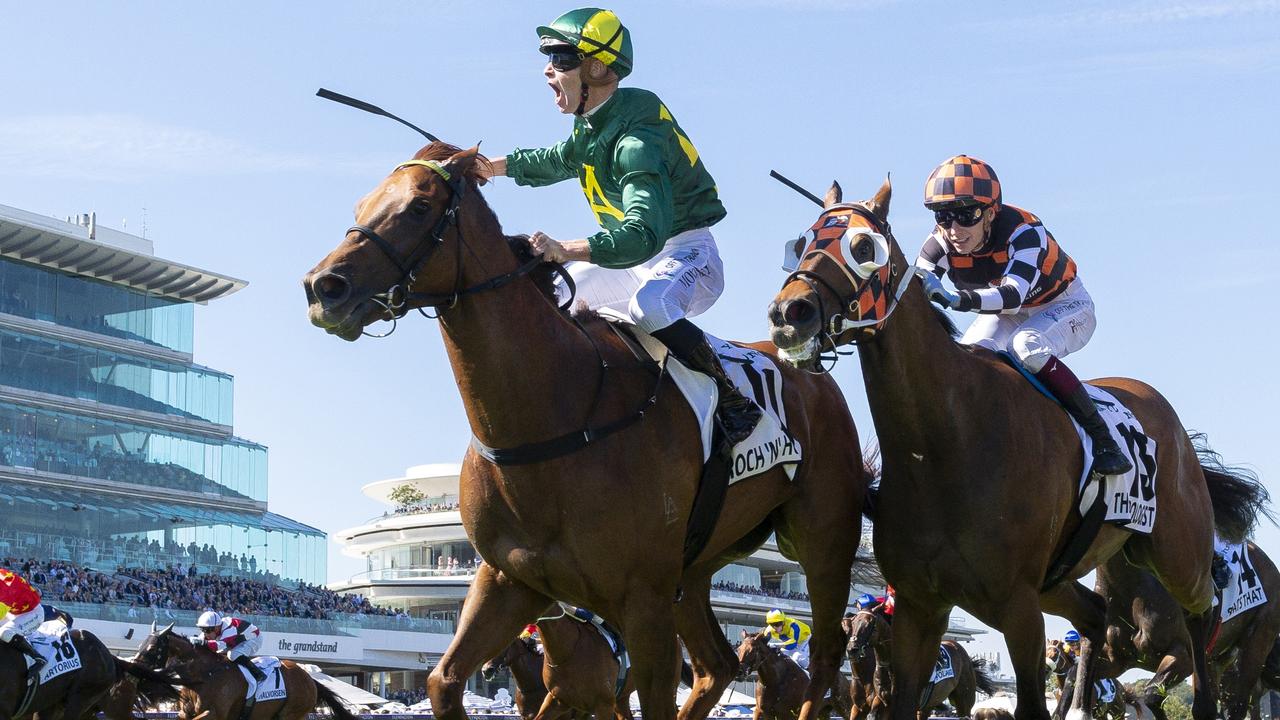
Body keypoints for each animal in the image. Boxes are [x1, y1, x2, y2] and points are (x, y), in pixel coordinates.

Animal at [132, 624, 357, 720]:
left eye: (151, 649)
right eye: (140, 645)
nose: (134, 668)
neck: (205, 675)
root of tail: (309, 679)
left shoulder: (215, 714)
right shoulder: (184, 713)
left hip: (291, 714)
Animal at [302, 141, 867, 720]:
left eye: (419, 205)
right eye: (362, 204)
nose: (324, 287)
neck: (556, 413)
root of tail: (810, 366)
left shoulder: (643, 599)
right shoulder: (508, 579)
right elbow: (442, 680)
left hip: (822, 539)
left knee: (825, 653)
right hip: (693, 573)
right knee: (718, 664)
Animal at [845, 611, 993, 719]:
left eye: (869, 625)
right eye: (852, 624)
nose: (852, 649)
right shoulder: (881, 702)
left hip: (964, 703)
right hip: (927, 706)